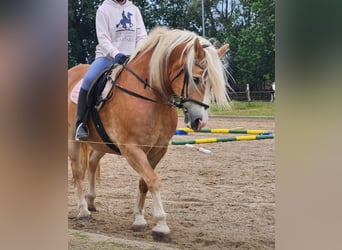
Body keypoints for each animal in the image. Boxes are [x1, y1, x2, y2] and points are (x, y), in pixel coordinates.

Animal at [67, 25, 230, 242]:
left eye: (211, 83)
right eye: (195, 79)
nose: (200, 121)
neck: (150, 96)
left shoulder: (157, 149)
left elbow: (144, 182)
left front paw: (139, 220)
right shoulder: (132, 149)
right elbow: (153, 180)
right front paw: (161, 226)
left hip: (101, 143)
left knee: (92, 163)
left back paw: (91, 201)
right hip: (72, 139)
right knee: (77, 171)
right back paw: (83, 210)